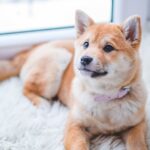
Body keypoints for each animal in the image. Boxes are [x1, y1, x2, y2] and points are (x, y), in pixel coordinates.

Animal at [0, 9, 148, 149]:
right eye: (86, 44)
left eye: (108, 47)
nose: (85, 59)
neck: (105, 96)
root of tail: (33, 49)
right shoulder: (75, 125)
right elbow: (79, 145)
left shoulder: (137, 124)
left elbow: (138, 144)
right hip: (58, 61)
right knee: (26, 88)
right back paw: (42, 103)